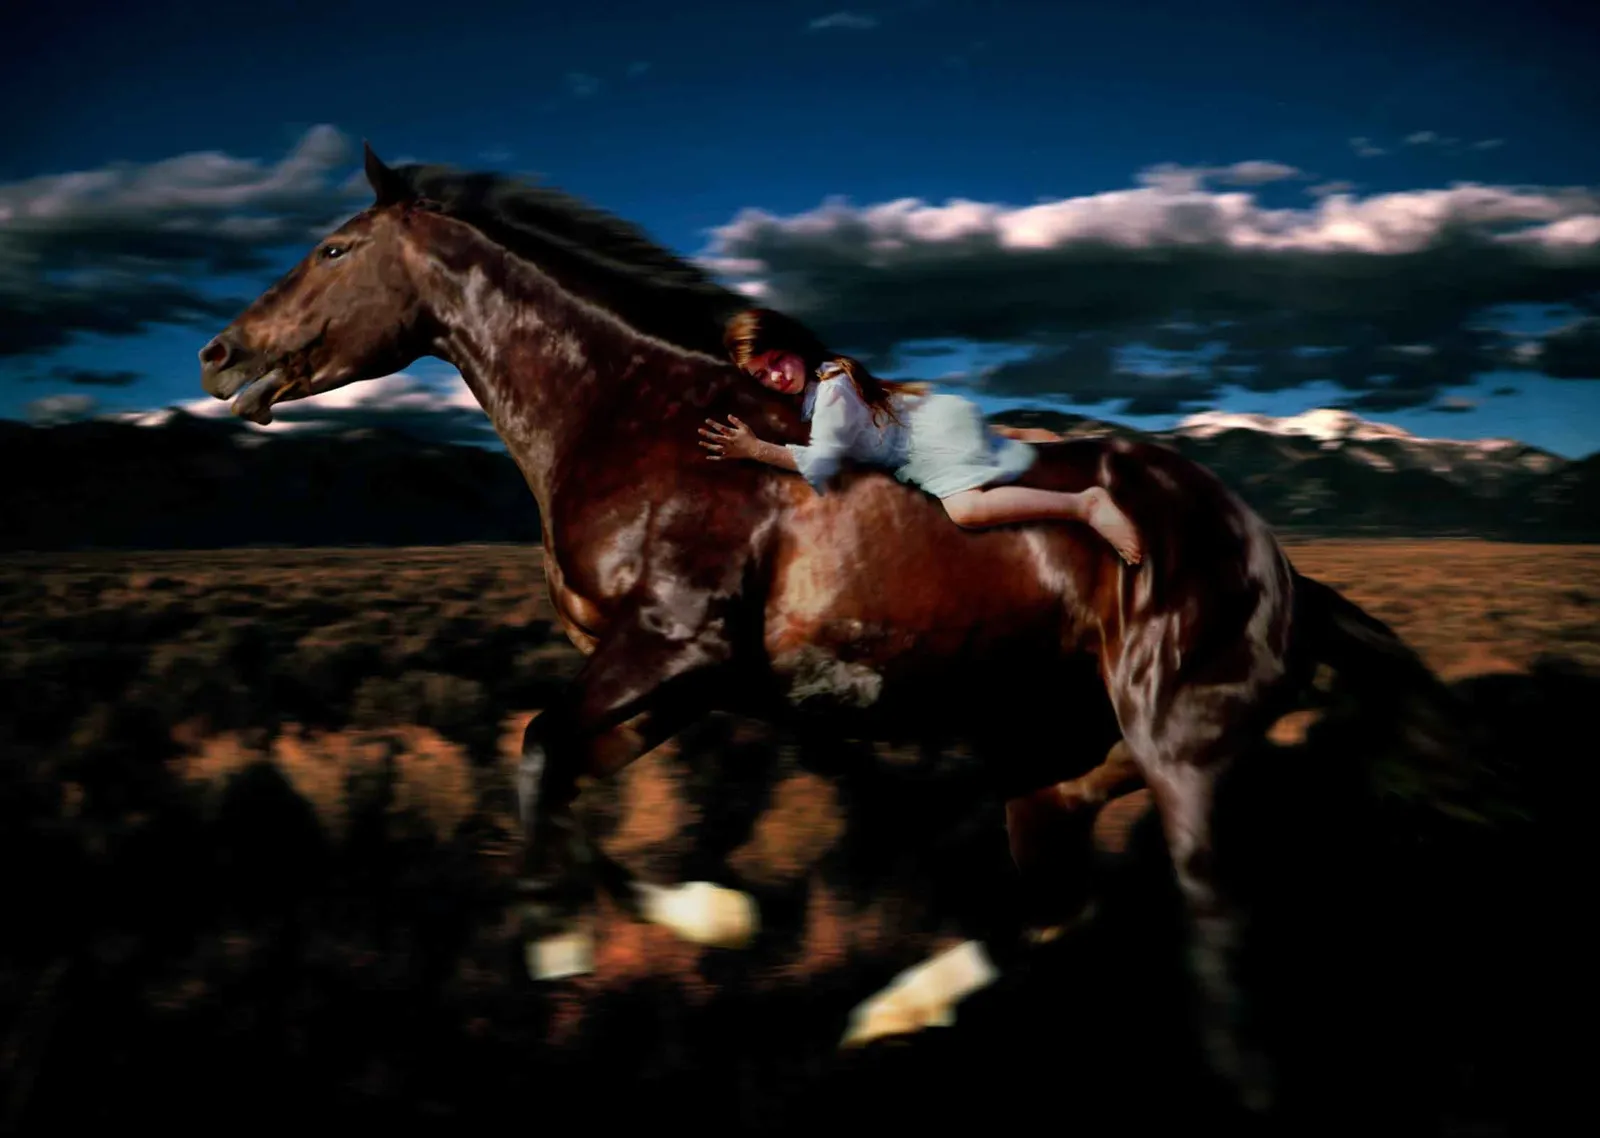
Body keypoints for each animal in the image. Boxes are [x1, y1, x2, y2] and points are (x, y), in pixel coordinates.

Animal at [196, 143, 1454, 1118]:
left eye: (335, 249)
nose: (218, 356)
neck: (636, 418)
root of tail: (1280, 567)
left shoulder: (676, 646)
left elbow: (541, 752)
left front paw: (560, 944)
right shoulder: (678, 678)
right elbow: (550, 765)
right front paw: (711, 917)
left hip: (1179, 749)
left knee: (1216, 932)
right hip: (1056, 765)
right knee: (1059, 909)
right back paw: (887, 1012)